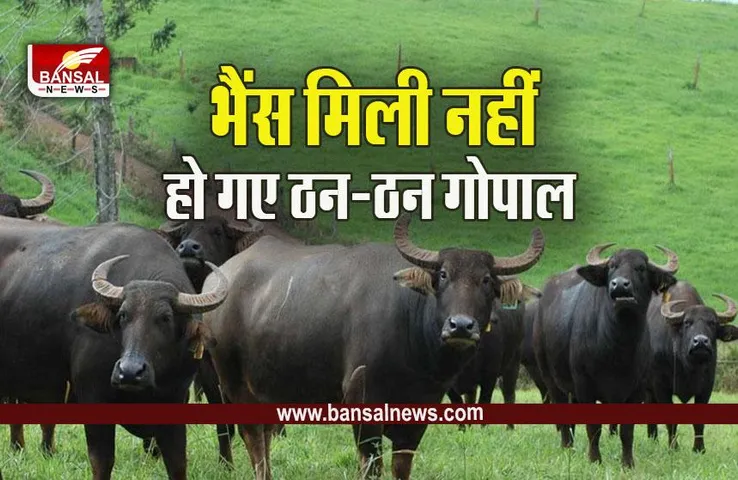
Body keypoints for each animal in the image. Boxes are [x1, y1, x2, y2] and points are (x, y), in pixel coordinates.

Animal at [0, 222, 228, 479]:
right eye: (123, 315)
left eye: (166, 318)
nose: (129, 372)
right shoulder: (94, 397)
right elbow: (102, 462)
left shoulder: (175, 401)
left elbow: (177, 464)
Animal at [201, 214, 545, 479]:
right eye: (444, 275)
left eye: (486, 280)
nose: (461, 326)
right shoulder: (363, 401)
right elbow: (371, 467)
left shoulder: (419, 412)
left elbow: (401, 467)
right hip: (233, 383)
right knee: (253, 437)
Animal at [533, 243, 678, 468]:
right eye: (612, 266)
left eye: (641, 268)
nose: (619, 285)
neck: (618, 348)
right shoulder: (585, 385)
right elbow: (594, 428)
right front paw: (594, 459)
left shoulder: (636, 390)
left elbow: (627, 432)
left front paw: (628, 463)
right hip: (550, 377)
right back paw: (567, 446)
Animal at [646, 281, 738, 452]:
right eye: (687, 322)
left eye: (712, 323)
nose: (700, 341)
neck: (687, 366)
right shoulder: (660, 386)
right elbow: (670, 420)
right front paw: (673, 447)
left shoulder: (706, 387)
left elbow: (699, 422)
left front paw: (699, 449)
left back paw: (652, 440)